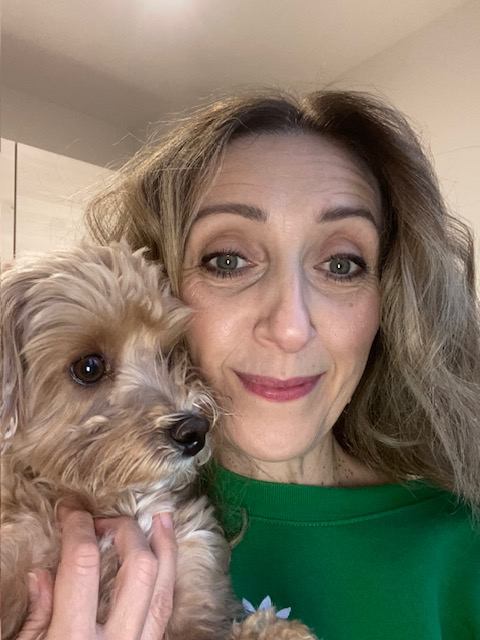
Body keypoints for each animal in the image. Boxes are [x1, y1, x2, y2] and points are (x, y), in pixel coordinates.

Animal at [1, 242, 317, 639]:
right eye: (89, 367)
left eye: (166, 354)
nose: (195, 431)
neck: (116, 500)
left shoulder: (194, 561)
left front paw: (274, 629)